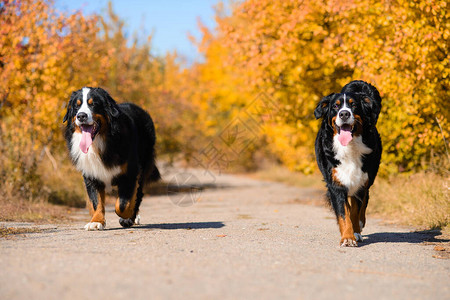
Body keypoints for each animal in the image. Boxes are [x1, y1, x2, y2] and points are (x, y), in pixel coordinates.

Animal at [62, 86, 161, 230]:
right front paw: (96, 221)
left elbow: (123, 204)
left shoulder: (130, 172)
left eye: (93, 104)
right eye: (77, 106)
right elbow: (95, 200)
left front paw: (128, 217)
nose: (81, 116)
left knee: (138, 194)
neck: (98, 143)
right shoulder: (91, 174)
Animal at [314, 79, 382, 246]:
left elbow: (355, 211)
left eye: (353, 105)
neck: (349, 147)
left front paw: (355, 232)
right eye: (335, 106)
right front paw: (347, 237)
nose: (344, 113)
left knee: (364, 201)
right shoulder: (336, 184)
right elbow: (344, 214)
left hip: (368, 178)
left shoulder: (360, 180)